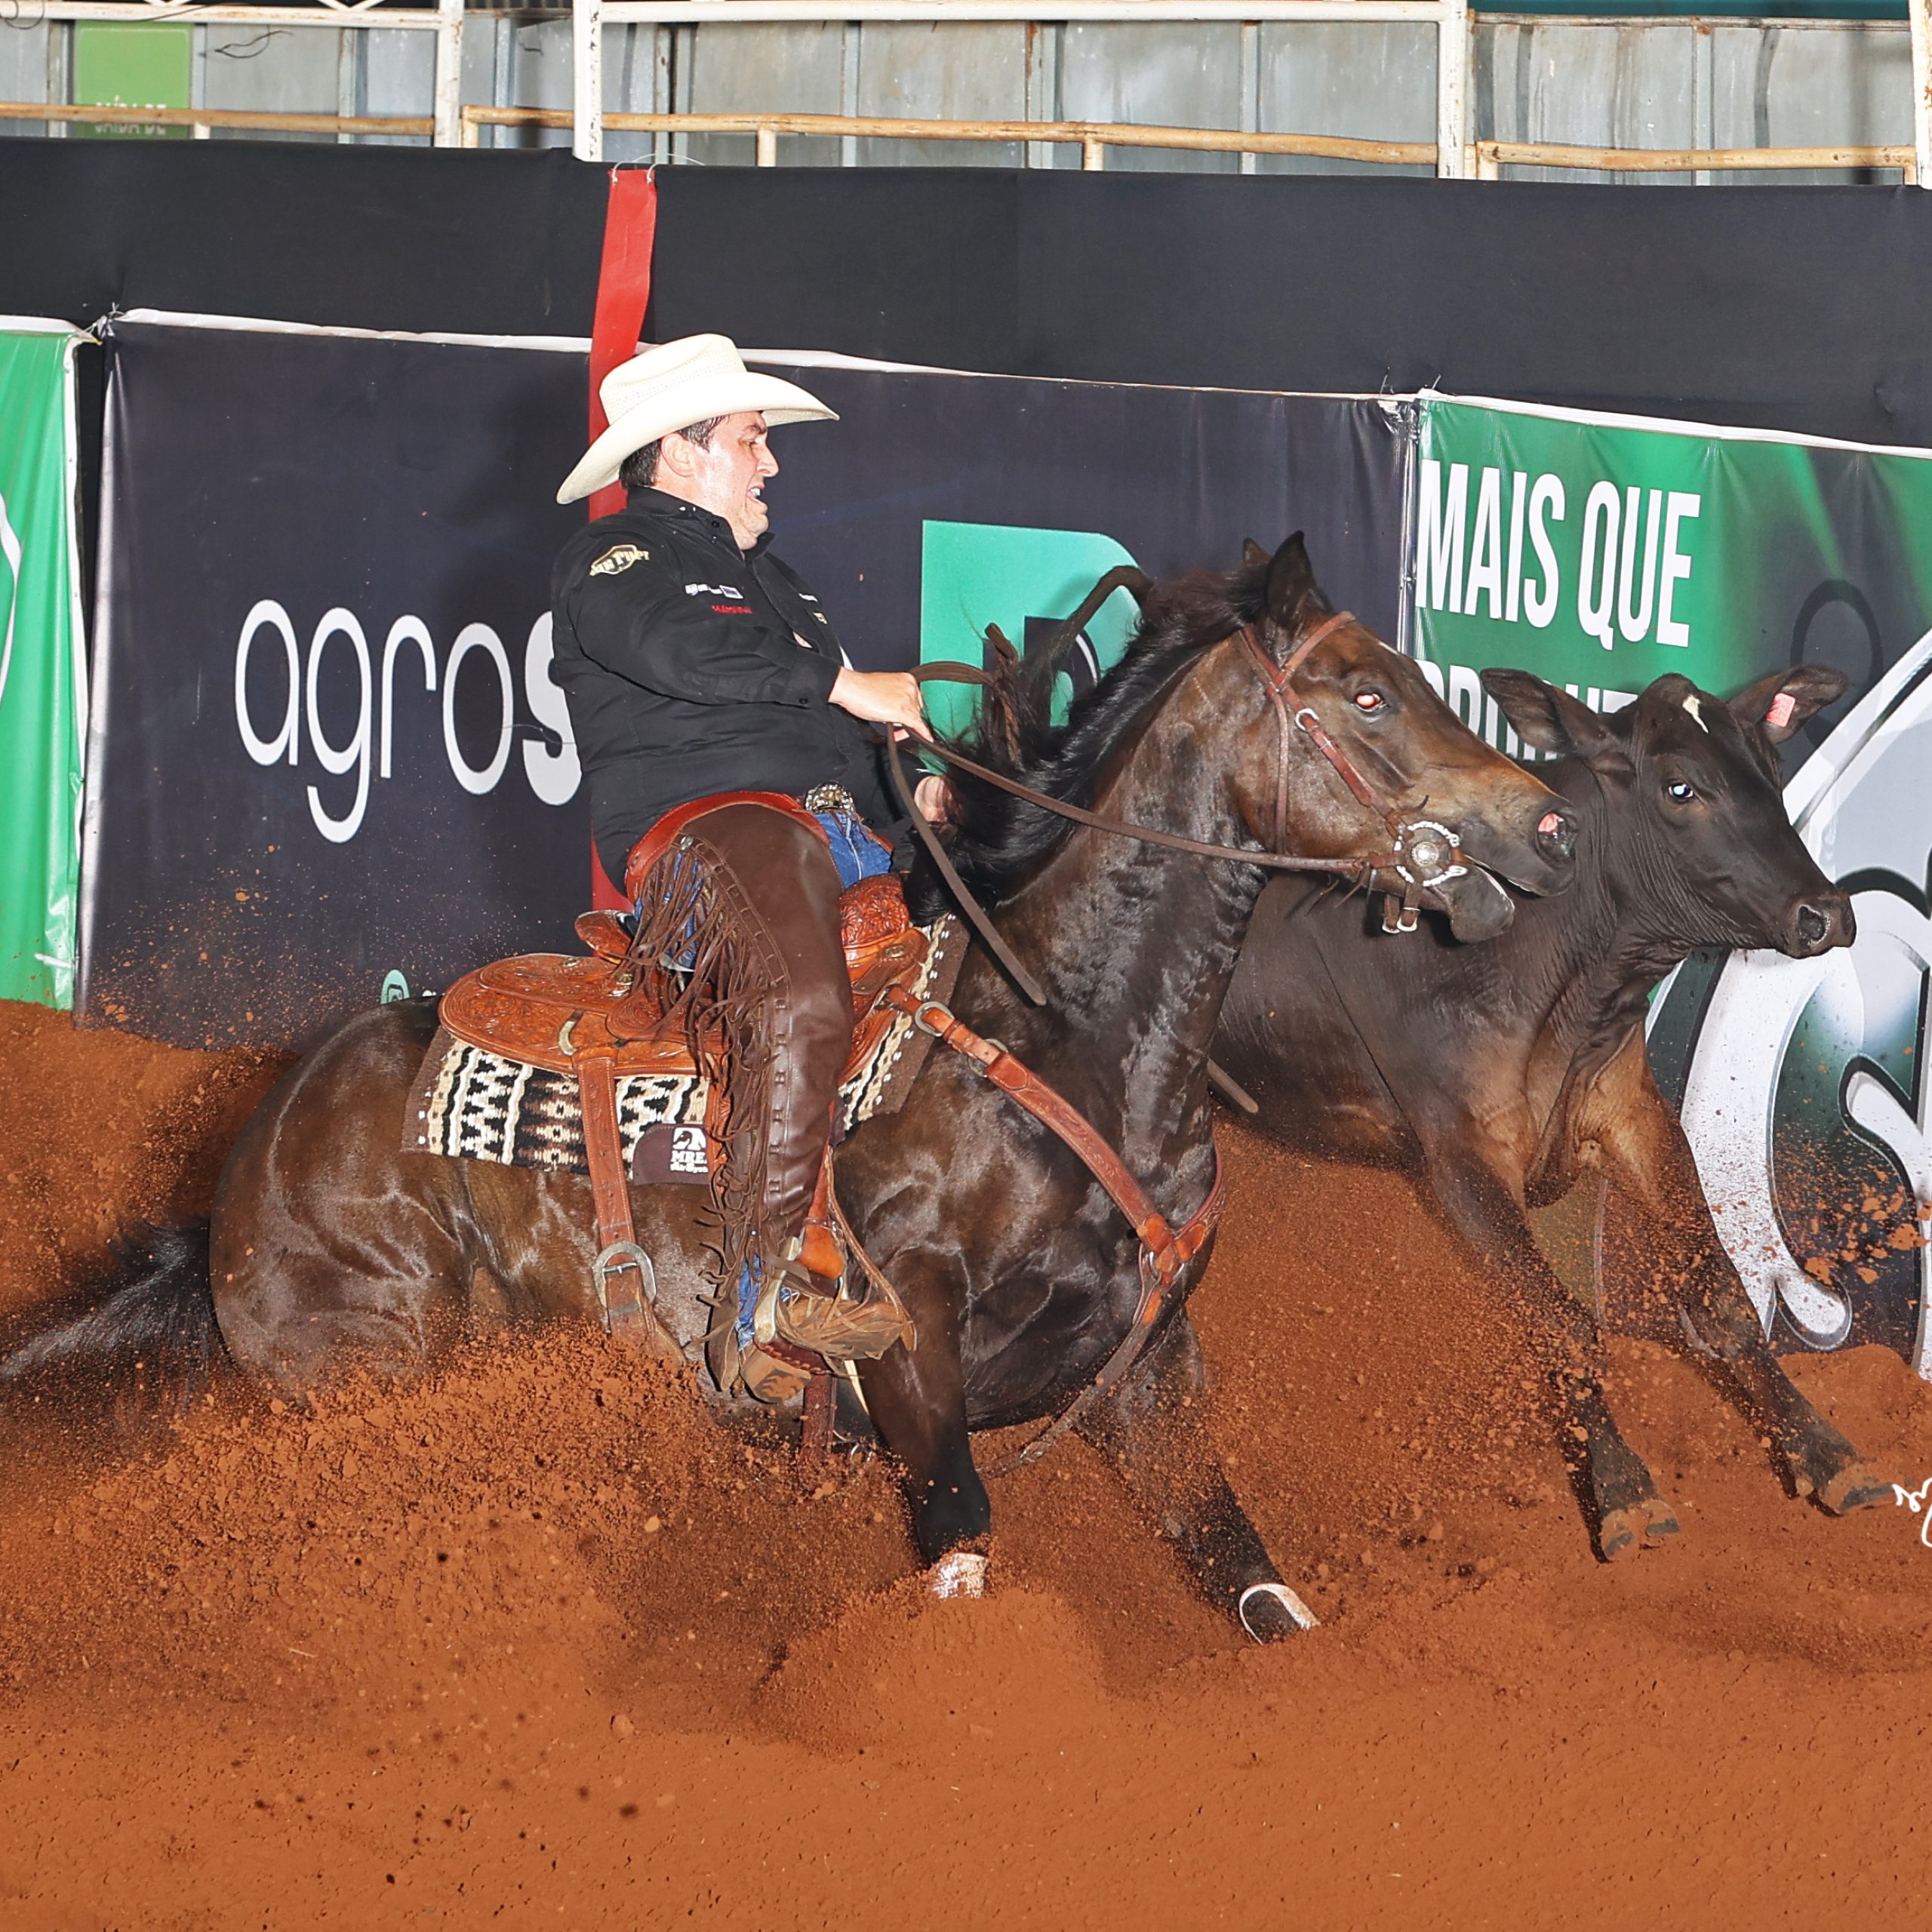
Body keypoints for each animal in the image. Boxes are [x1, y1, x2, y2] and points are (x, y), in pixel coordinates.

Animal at [8, 537, 1576, 1638]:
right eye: (1368, 692)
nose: (1551, 821)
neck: (1069, 1040)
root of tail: (256, 1151)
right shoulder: (915, 1348)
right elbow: (959, 1550)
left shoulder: (1152, 1368)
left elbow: (1255, 1590)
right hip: (367, 1380)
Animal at [1213, 664, 1878, 1553]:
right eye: (1680, 786)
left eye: (1772, 771)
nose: (1825, 913)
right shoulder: (1461, 1164)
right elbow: (1560, 1327)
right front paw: (1625, 1491)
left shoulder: (1633, 1115)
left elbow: (1723, 1296)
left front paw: (1826, 1449)